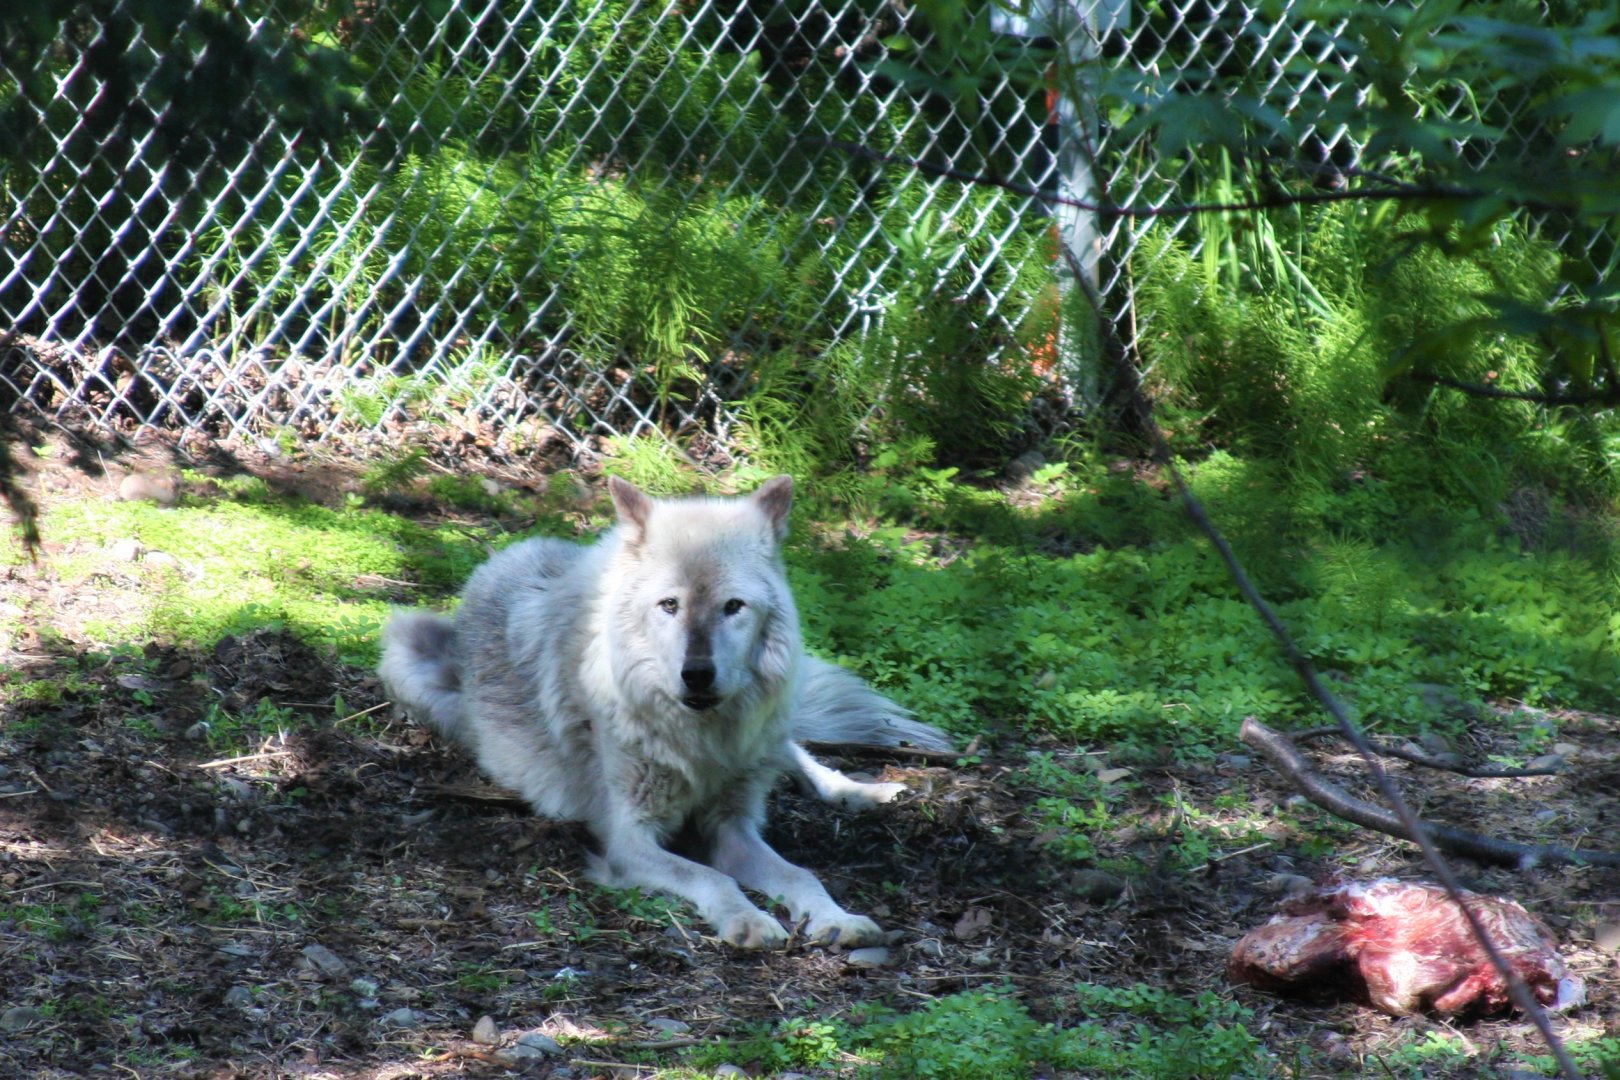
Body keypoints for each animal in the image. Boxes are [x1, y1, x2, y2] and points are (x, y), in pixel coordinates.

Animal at [378, 475, 951, 949]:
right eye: (669, 605)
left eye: (733, 606)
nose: (696, 674)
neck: (699, 739)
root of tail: (500, 558)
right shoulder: (629, 840)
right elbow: (713, 876)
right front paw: (749, 919)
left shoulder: (732, 825)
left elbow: (798, 874)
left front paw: (838, 918)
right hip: (405, 651)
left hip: (771, 733)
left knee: (804, 758)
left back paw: (863, 791)